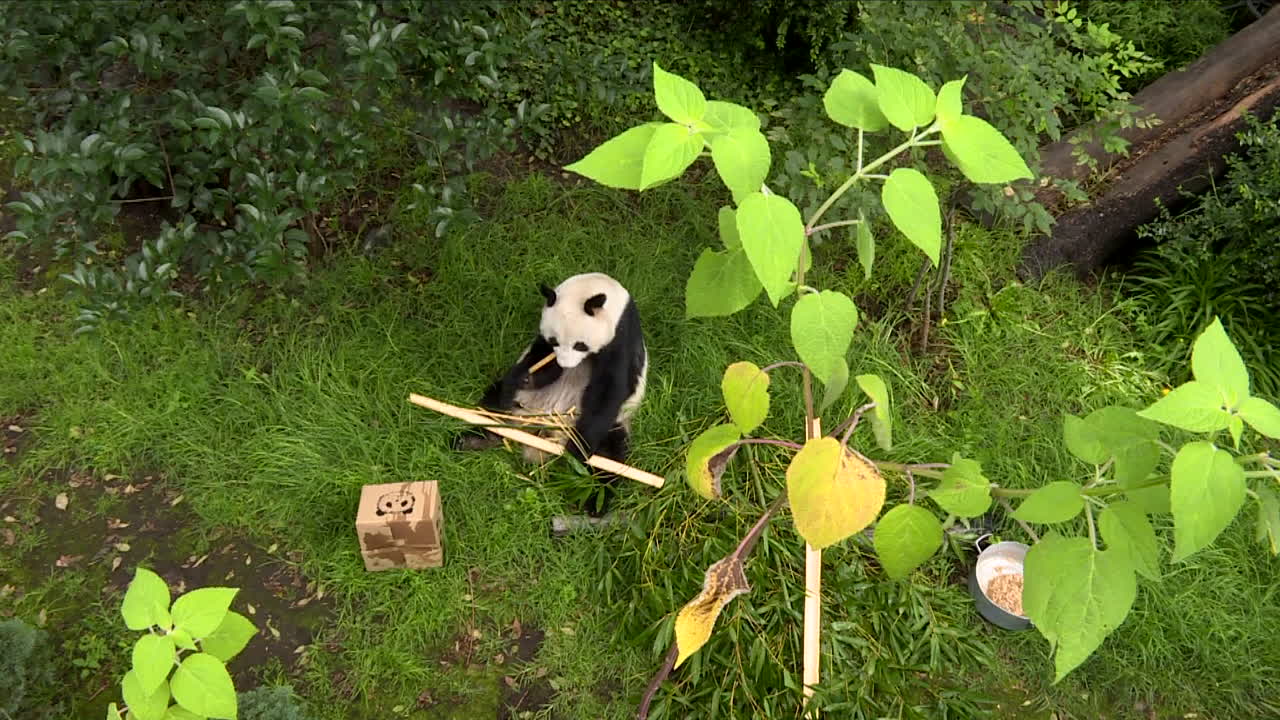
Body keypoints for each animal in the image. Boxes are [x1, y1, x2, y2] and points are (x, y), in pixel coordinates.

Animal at [456, 272, 648, 512]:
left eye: (580, 345)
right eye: (555, 341)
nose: (566, 364)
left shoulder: (621, 337)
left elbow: (609, 390)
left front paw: (577, 449)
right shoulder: (544, 343)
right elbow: (541, 361)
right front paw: (527, 376)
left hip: (617, 423)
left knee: (609, 456)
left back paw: (592, 500)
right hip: (520, 404)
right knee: (494, 403)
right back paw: (475, 438)